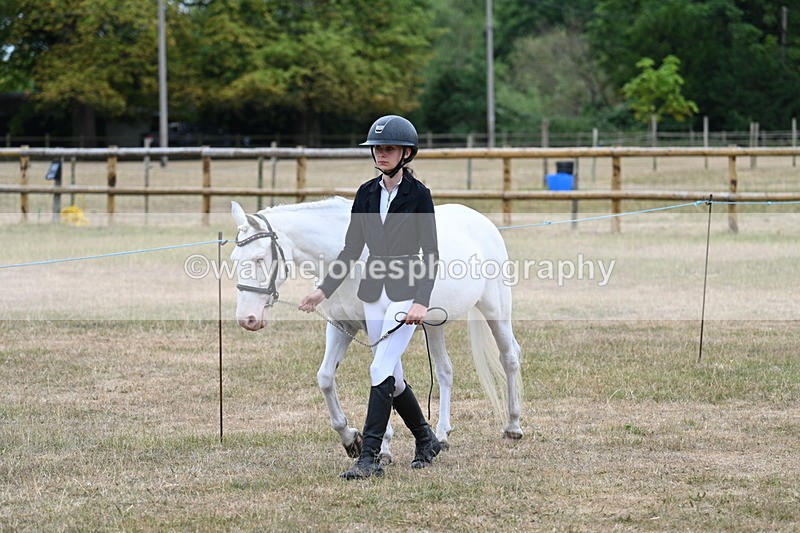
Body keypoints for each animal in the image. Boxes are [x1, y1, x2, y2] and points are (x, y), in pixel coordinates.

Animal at [230, 197, 523, 463]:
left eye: (259, 258)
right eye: (234, 259)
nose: (247, 319)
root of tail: (482, 220)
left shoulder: (379, 329)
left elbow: (386, 378)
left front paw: (382, 448)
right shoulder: (341, 326)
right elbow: (326, 378)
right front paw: (351, 439)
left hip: (496, 311)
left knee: (509, 357)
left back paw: (513, 426)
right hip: (433, 326)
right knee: (445, 372)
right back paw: (441, 436)